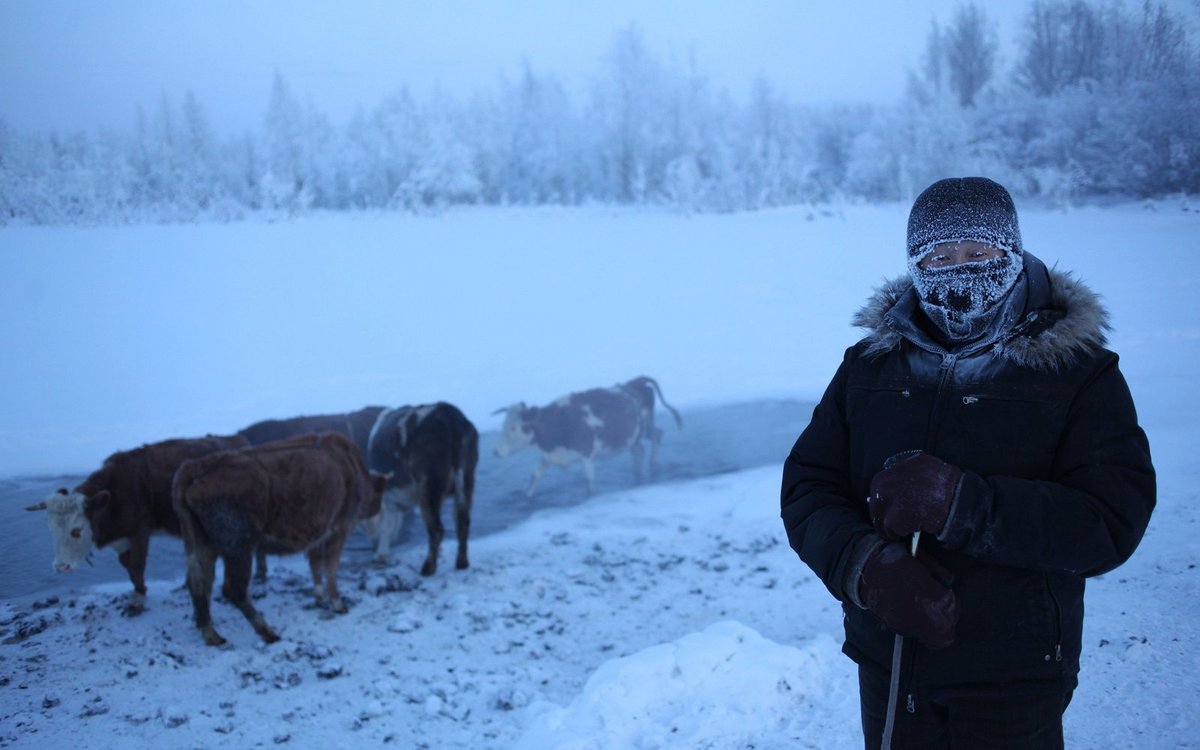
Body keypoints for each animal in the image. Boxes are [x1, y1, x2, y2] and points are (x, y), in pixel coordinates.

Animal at [24, 432, 250, 614]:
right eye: (52, 530)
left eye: (77, 530)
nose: (61, 567)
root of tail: (236, 439)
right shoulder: (122, 538)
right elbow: (127, 566)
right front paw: (137, 590)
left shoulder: (140, 532)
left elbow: (137, 564)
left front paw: (138, 600)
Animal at [169, 429, 381, 648]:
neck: (349, 464)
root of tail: (194, 468)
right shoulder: (338, 530)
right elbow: (330, 568)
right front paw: (338, 603)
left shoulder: (317, 537)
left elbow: (316, 567)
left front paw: (319, 598)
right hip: (238, 547)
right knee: (233, 589)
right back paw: (267, 631)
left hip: (202, 544)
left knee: (199, 582)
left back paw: (211, 634)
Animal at [364, 403, 477, 573]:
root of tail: (448, 413)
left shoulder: (388, 497)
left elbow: (386, 524)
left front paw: (381, 554)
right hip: (467, 481)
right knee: (462, 522)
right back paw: (462, 563)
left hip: (429, 487)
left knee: (437, 529)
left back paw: (428, 567)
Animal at [489, 374, 681, 496]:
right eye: (503, 424)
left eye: (514, 428)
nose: (496, 451)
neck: (558, 422)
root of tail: (636, 381)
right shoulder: (549, 456)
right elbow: (534, 477)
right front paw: (526, 495)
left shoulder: (586, 454)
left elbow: (588, 482)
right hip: (635, 435)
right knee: (642, 448)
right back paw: (639, 473)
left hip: (646, 424)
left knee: (655, 437)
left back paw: (653, 464)